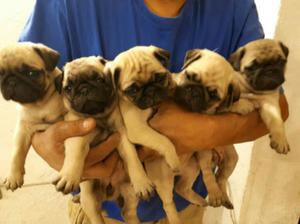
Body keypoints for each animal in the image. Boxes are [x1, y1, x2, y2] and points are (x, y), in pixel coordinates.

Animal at [0, 42, 65, 191]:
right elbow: (17, 153)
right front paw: (14, 176)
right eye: (0, 75)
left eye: (31, 73)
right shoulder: (23, 130)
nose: (11, 80)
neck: (40, 103)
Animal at [107, 46, 183, 224]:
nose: (150, 89)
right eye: (133, 90)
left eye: (159, 78)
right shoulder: (138, 128)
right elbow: (163, 140)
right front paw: (173, 157)